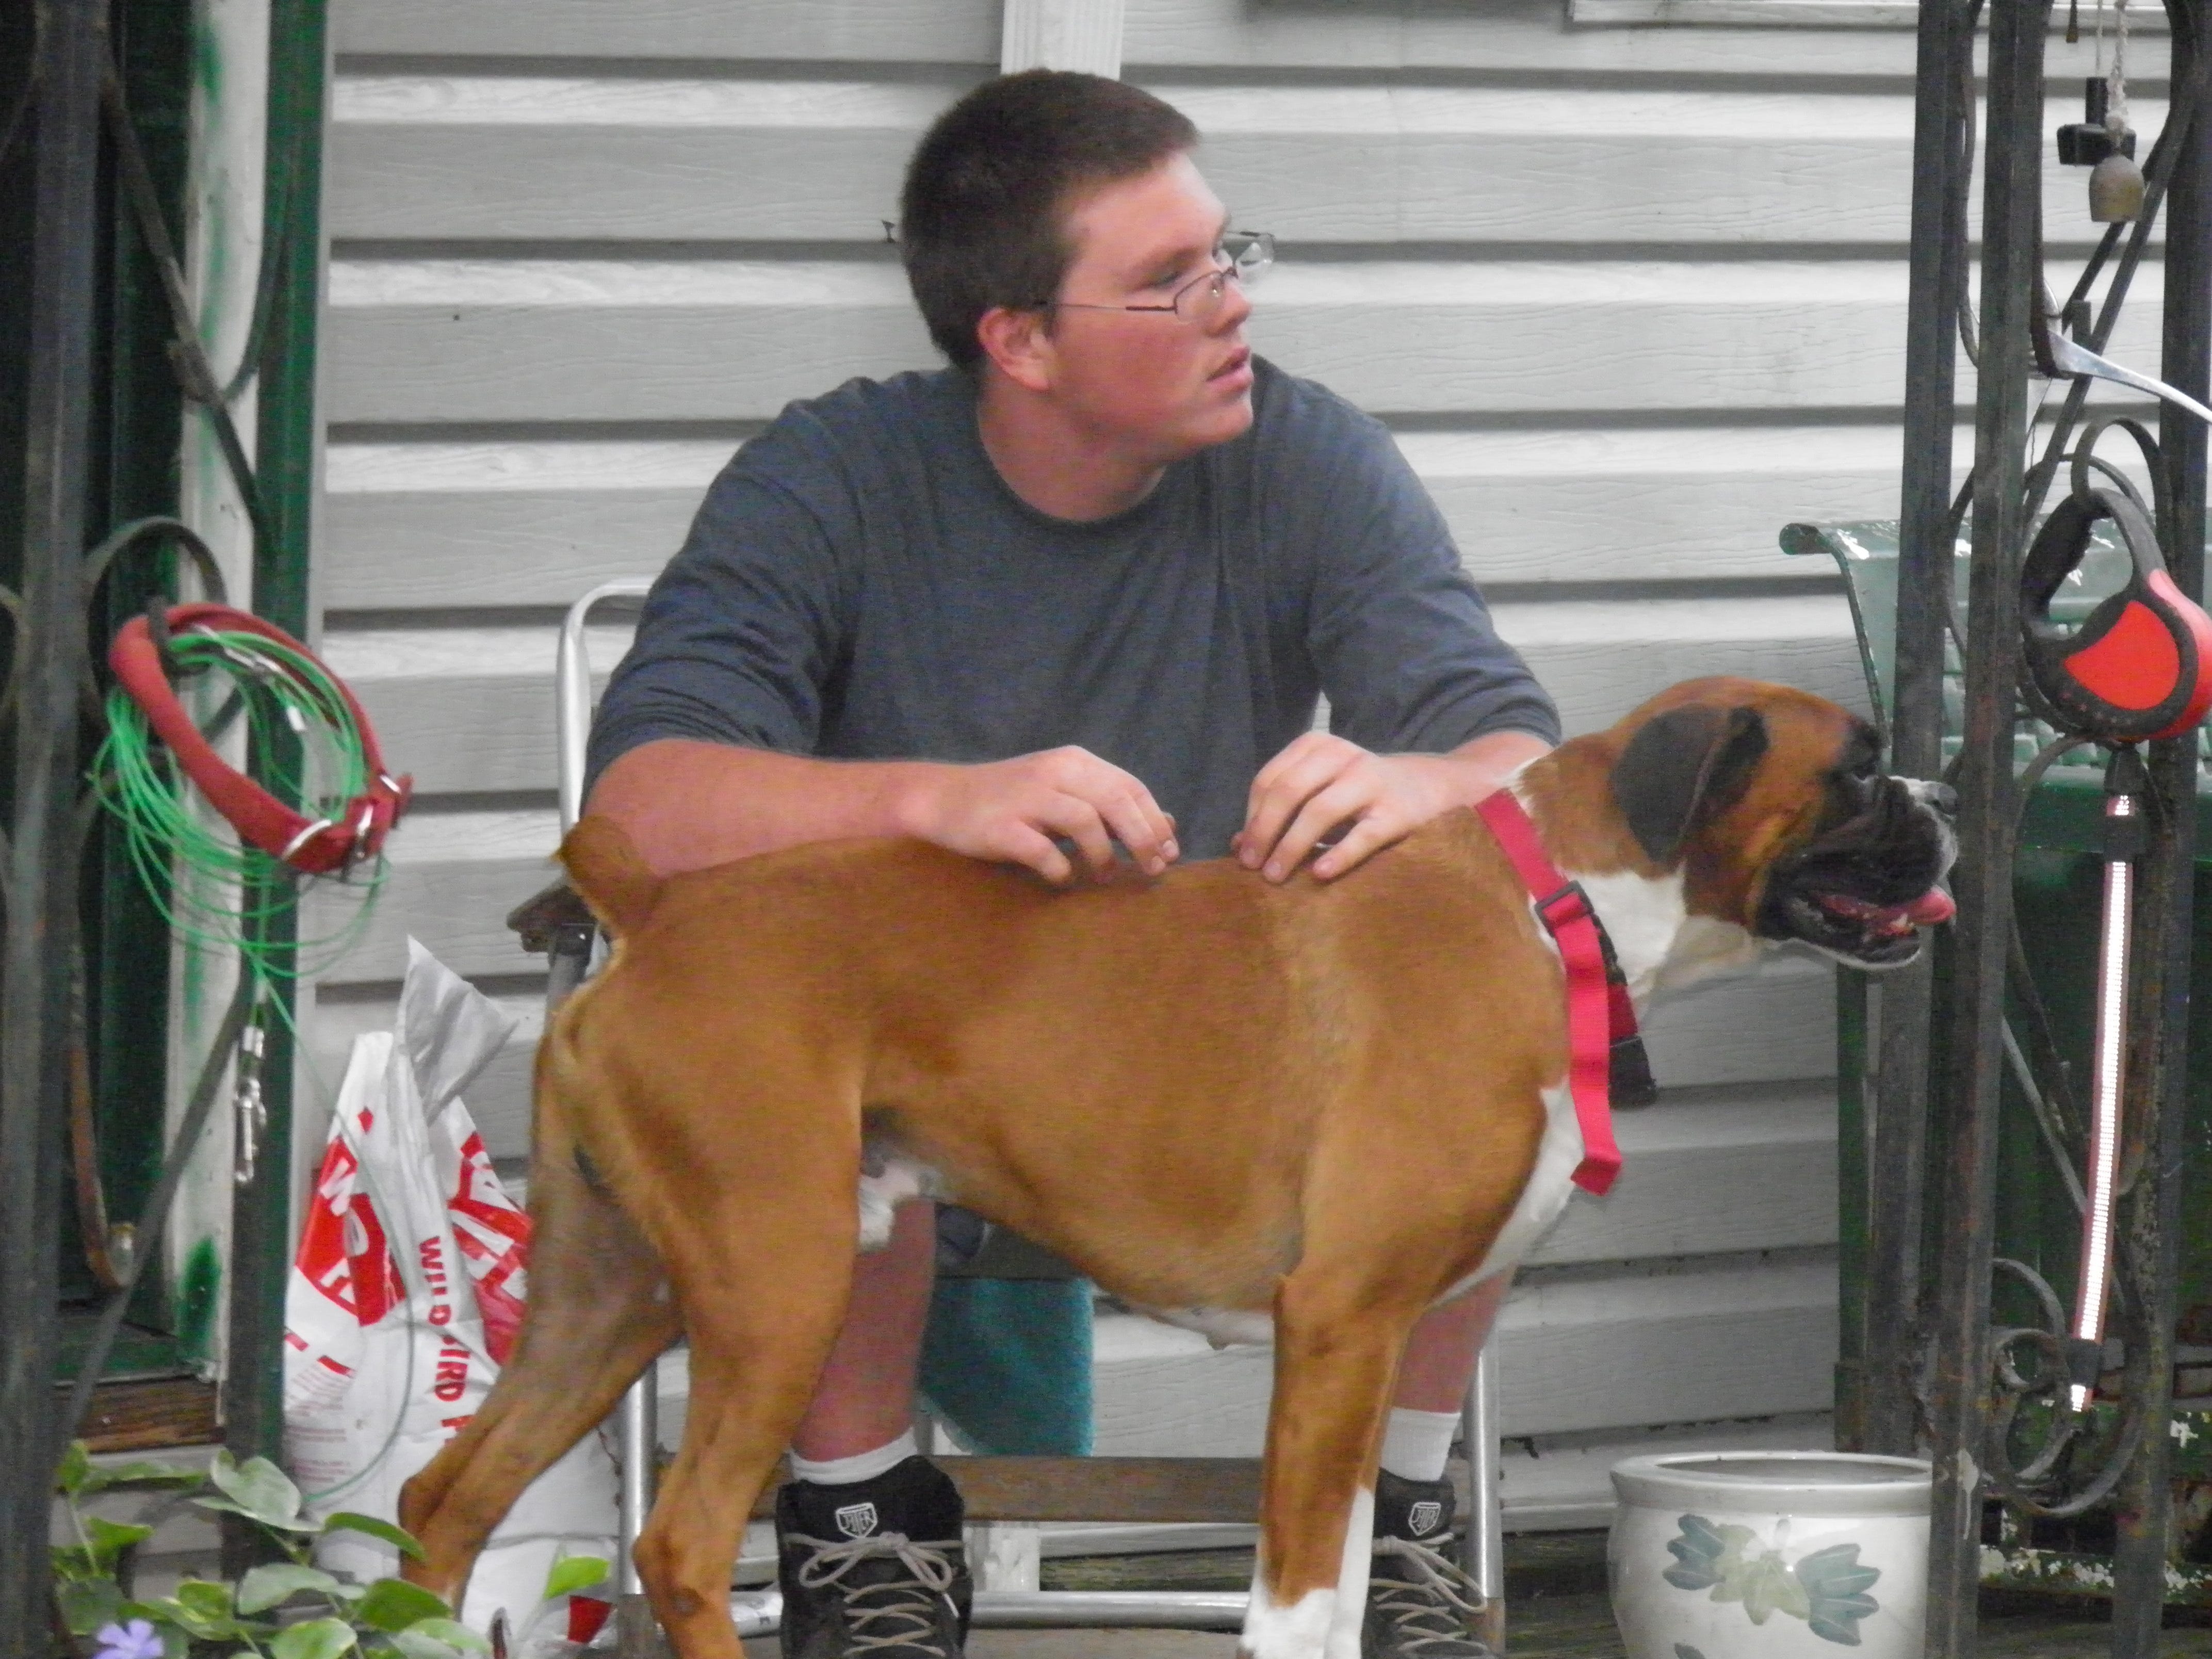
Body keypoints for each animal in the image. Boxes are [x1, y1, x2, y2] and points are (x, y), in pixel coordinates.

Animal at [398, 677, 1955, 1659]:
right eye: (1857, 769)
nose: (1943, 798)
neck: (1548, 905)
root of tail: (659, 903)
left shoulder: (1363, 1355)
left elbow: (1340, 1587)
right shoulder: (1338, 1325)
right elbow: (1294, 1608)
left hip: (611, 1298)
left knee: (444, 1501)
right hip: (777, 1287)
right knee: (674, 1545)